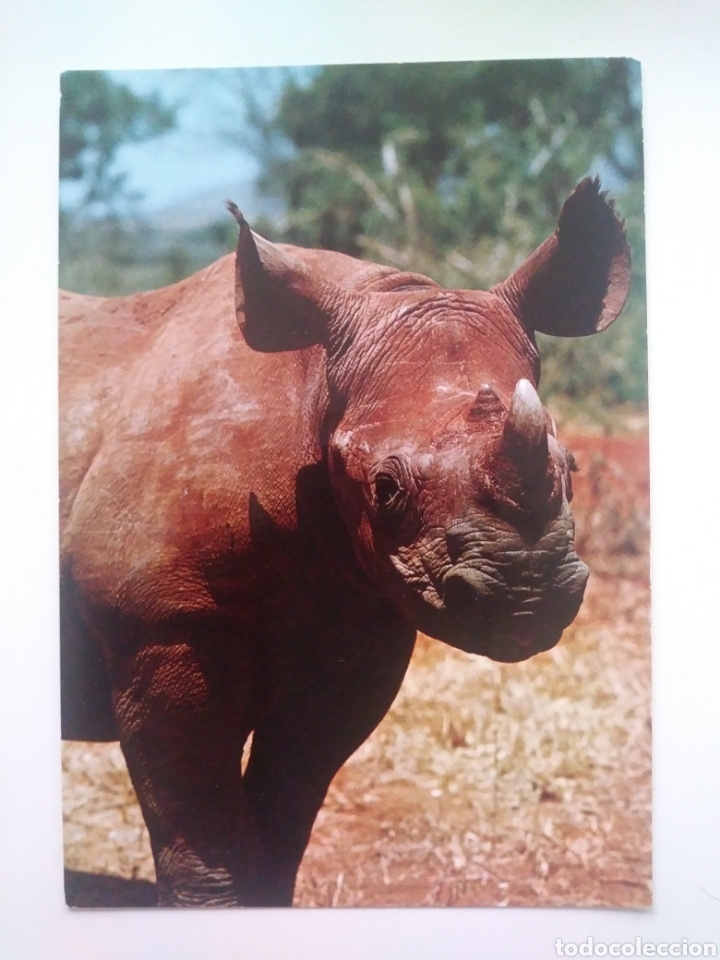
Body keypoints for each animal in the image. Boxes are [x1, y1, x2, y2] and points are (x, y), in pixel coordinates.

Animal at [59, 178, 630, 907]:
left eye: (572, 469)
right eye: (384, 487)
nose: (527, 595)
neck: (313, 389)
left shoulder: (360, 625)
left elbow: (283, 822)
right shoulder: (158, 618)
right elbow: (203, 836)